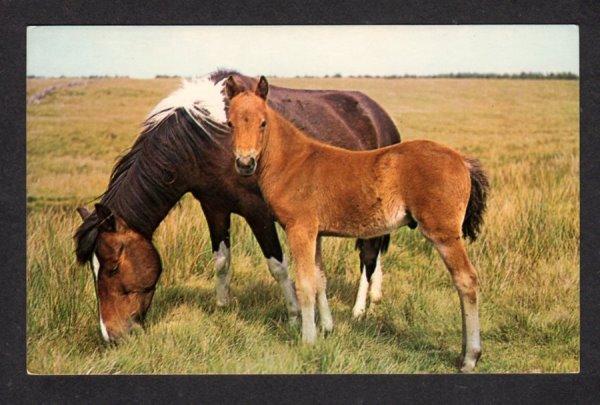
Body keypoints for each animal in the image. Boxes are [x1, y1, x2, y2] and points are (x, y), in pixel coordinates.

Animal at [76, 70, 404, 340]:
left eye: (112, 268)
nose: (111, 335)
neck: (206, 139)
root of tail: (379, 114)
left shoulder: (258, 213)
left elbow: (278, 266)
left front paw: (294, 316)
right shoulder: (214, 207)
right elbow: (222, 260)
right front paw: (222, 306)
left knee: (369, 254)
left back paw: (360, 309)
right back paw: (375, 295)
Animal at [225, 76, 488, 372]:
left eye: (263, 123)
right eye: (230, 123)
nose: (245, 163)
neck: (294, 162)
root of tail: (463, 161)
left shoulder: (300, 229)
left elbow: (304, 283)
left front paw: (308, 340)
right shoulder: (316, 234)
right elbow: (320, 279)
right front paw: (327, 328)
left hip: (443, 234)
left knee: (466, 280)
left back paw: (470, 357)